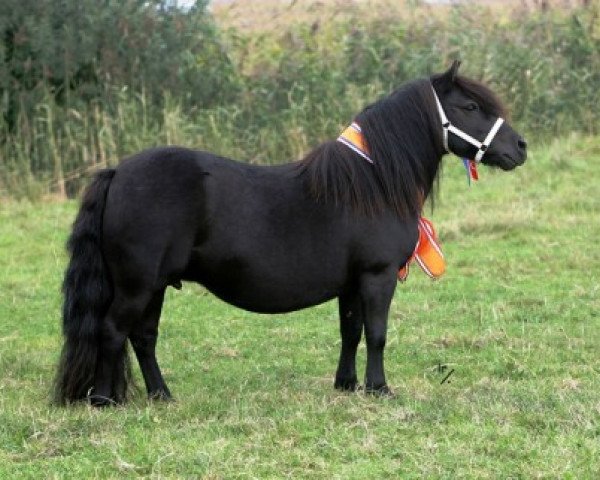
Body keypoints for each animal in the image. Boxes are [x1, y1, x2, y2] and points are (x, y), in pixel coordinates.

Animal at [54, 60, 528, 404]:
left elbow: (351, 332)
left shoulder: (351, 283)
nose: (520, 148)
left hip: (154, 285)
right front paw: (379, 389)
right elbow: (377, 334)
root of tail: (118, 172)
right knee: (112, 331)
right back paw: (103, 400)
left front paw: (347, 385)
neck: (371, 183)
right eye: (470, 107)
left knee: (143, 337)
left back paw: (161, 396)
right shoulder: (377, 276)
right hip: (136, 285)